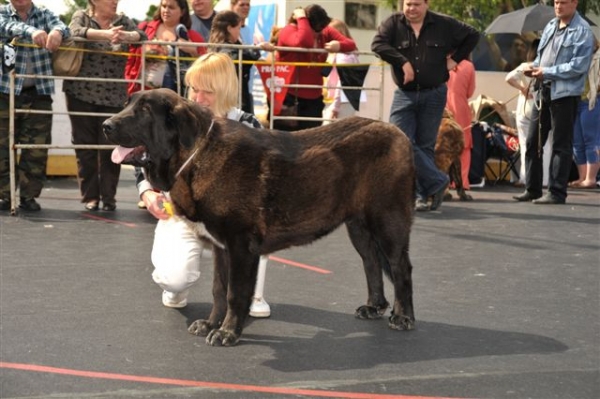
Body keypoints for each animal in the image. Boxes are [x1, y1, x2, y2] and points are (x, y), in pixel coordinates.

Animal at [103, 89, 418, 348]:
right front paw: (211, 323)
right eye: (127, 104)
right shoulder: (222, 248)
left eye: (145, 110)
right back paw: (374, 306)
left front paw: (227, 332)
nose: (105, 125)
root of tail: (399, 133)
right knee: (371, 262)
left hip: (388, 221)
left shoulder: (241, 246)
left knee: (400, 267)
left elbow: (235, 292)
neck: (195, 155)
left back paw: (403, 317)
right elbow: (219, 289)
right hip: (359, 227)